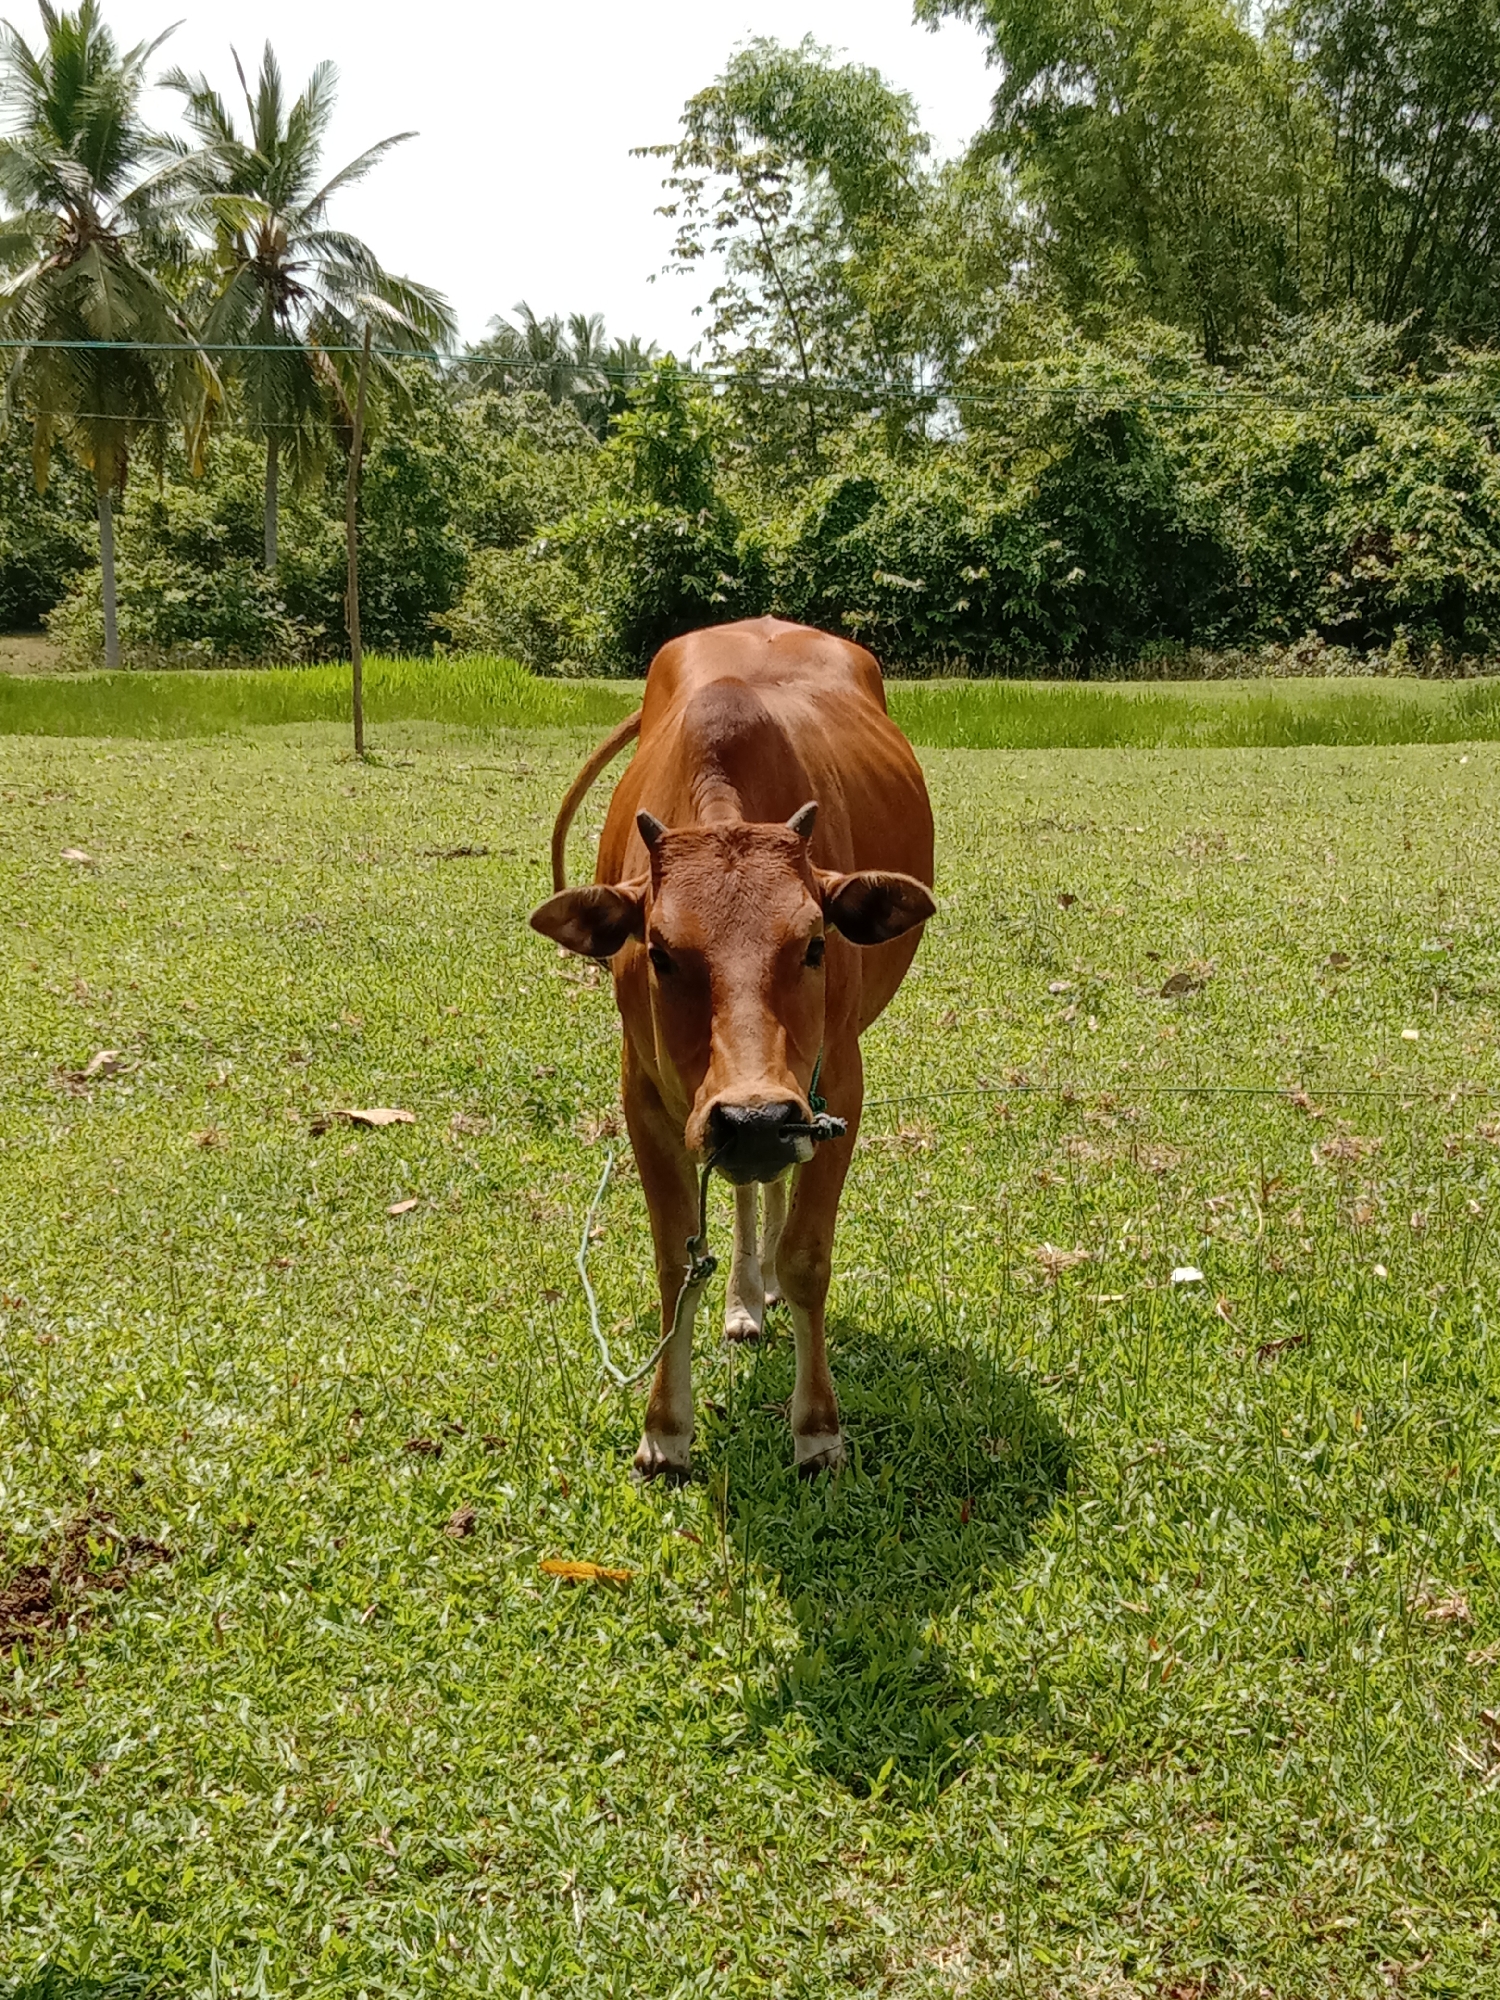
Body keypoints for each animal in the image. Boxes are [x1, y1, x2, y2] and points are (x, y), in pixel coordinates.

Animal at [530, 617, 935, 1478]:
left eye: (814, 943)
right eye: (658, 950)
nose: (751, 1119)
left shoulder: (837, 1085)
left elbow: (809, 1256)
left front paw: (817, 1427)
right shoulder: (648, 1097)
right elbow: (675, 1259)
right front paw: (665, 1427)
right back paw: (746, 1295)